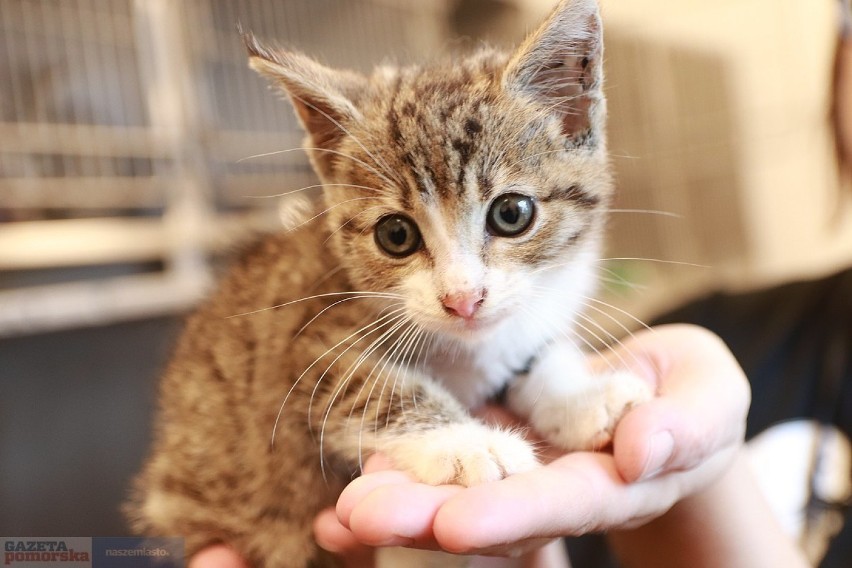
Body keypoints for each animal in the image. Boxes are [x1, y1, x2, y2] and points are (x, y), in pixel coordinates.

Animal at [126, 0, 648, 564]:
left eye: (512, 213)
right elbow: (376, 390)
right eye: (395, 235)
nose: (463, 299)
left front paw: (583, 397)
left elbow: (537, 350)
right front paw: (469, 442)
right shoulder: (306, 344)